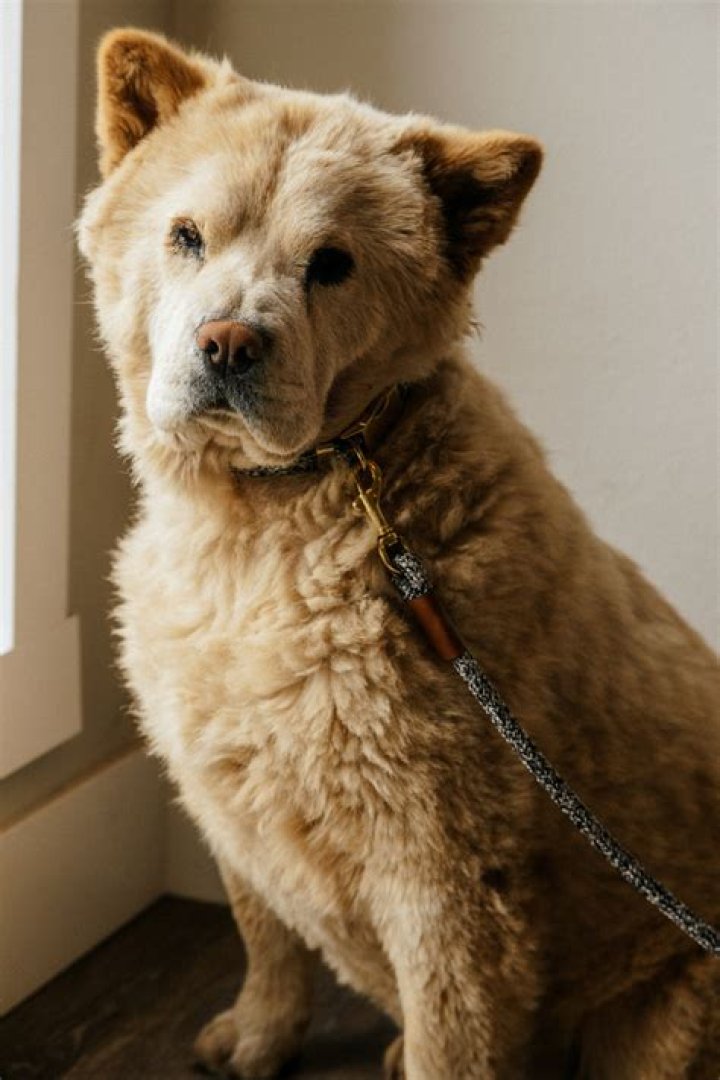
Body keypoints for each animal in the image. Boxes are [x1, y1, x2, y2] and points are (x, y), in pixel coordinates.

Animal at [78, 28, 719, 1079]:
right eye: (187, 236)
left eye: (330, 264)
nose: (227, 342)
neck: (259, 528)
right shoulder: (228, 793)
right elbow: (265, 933)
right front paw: (255, 1037)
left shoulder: (449, 871)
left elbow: (450, 1036)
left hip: (671, 1015)